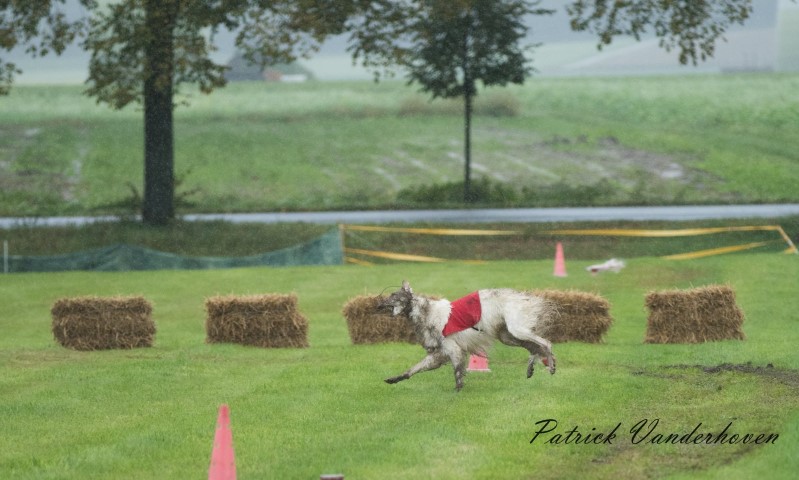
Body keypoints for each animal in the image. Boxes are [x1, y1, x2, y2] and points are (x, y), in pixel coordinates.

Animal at [380, 280, 558, 391]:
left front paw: (457, 391)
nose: (379, 304)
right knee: (534, 348)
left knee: (546, 343)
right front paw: (394, 378)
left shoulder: (454, 349)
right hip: (508, 336)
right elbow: (413, 369)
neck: (426, 312)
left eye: (394, 296)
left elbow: (458, 373)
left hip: (517, 329)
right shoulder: (438, 353)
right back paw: (531, 368)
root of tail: (523, 296)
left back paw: (551, 366)